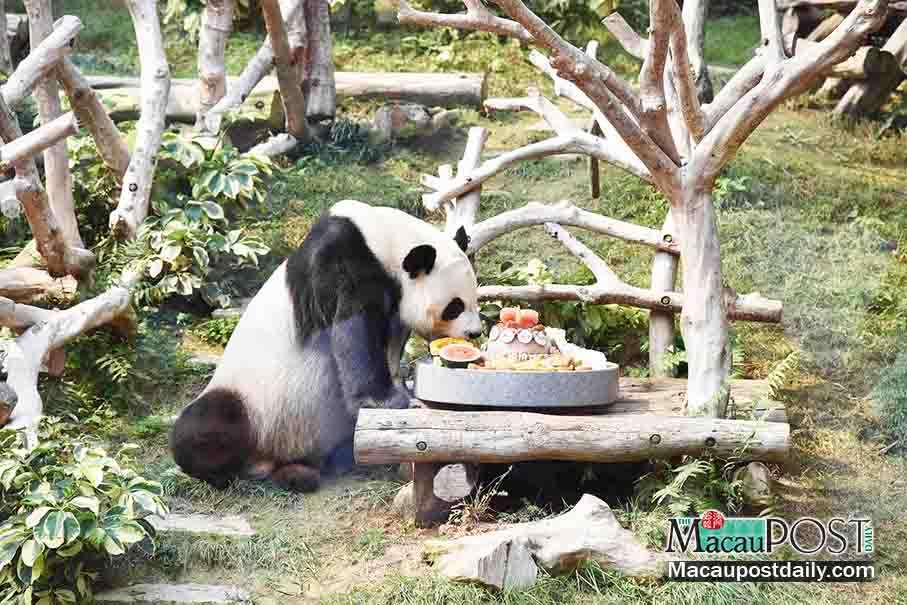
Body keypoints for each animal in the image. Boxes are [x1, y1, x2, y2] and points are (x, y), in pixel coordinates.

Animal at [170, 201, 482, 494]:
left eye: (475, 299)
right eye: (454, 307)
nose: (474, 332)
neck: (383, 239)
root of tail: (268, 458)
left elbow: (393, 341)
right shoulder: (340, 263)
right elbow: (354, 330)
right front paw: (388, 401)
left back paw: (302, 474)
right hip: (249, 401)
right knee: (203, 425)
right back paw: (224, 474)